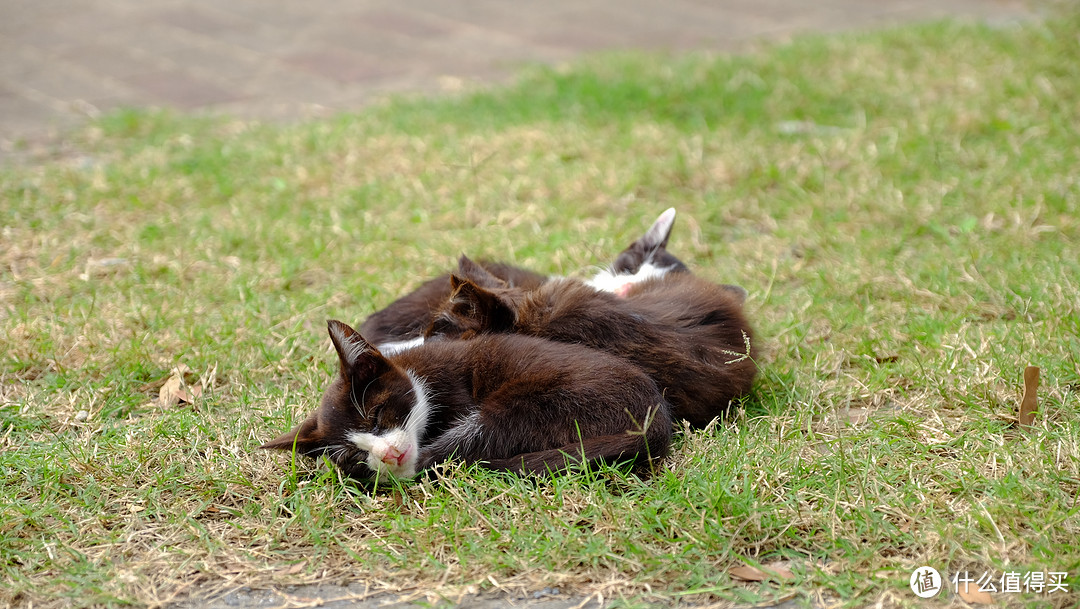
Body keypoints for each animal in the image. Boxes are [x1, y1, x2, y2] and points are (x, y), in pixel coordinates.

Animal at [261, 319, 669, 481]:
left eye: (375, 415)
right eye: (352, 455)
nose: (388, 455)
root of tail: (656, 418)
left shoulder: (454, 386)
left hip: (543, 400)